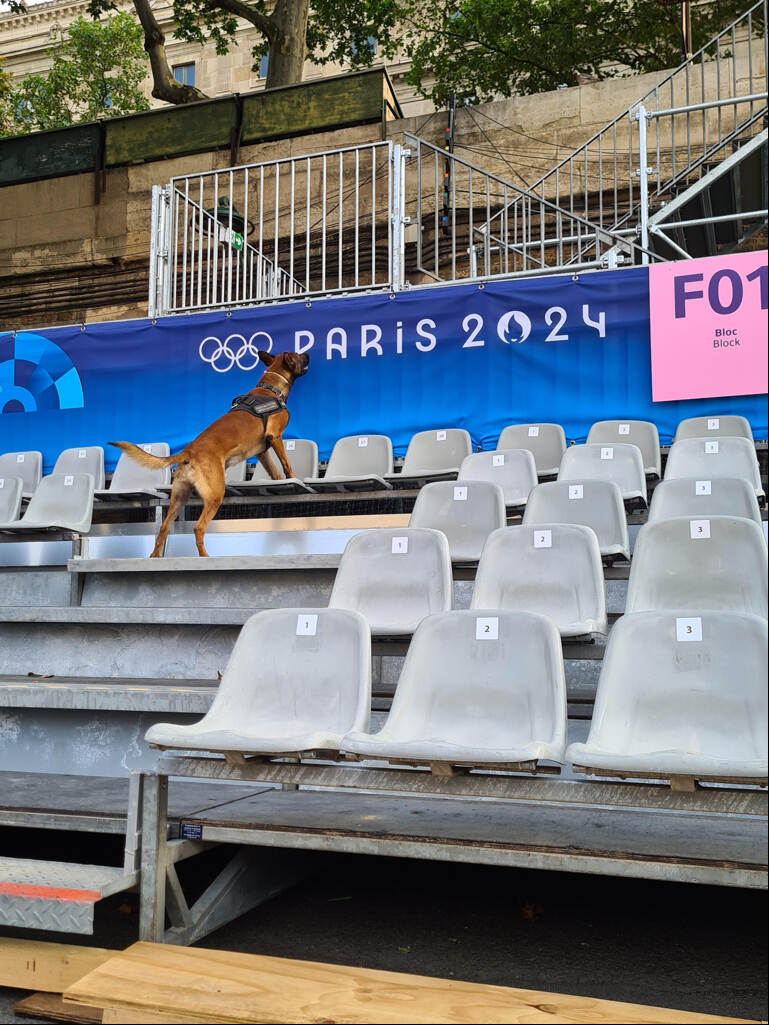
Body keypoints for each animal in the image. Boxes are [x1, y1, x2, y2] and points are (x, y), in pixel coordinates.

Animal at [111, 349, 310, 557]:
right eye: (297, 356)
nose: (308, 354)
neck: (270, 388)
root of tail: (187, 452)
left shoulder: (262, 452)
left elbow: (274, 470)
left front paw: (280, 481)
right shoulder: (275, 435)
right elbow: (286, 463)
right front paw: (293, 478)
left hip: (179, 498)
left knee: (164, 529)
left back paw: (155, 557)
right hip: (215, 495)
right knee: (198, 527)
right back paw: (204, 556)